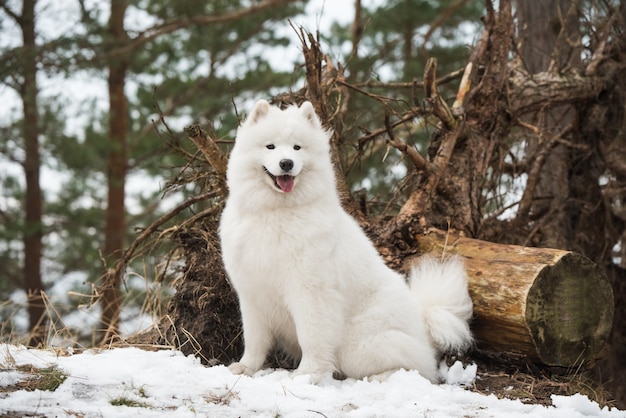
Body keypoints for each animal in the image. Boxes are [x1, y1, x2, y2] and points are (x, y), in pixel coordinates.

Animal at [218, 100, 468, 382]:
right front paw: (245, 368)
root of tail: (423, 327)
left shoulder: (310, 290)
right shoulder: (252, 293)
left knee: (415, 368)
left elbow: (312, 336)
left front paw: (307, 374)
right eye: (270, 146)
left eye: (297, 147)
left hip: (356, 345)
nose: (286, 163)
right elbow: (254, 340)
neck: (275, 212)